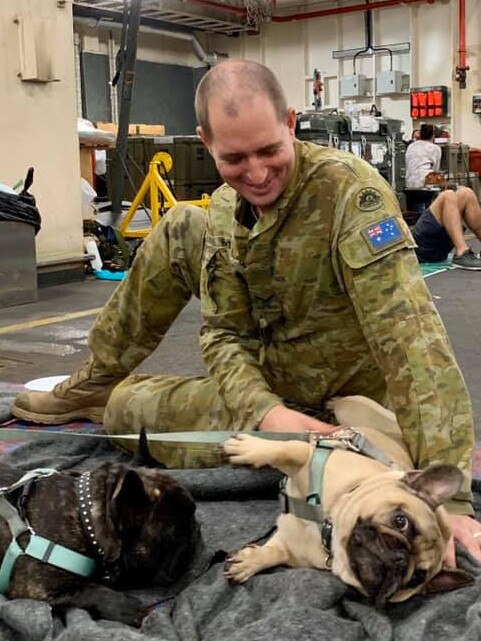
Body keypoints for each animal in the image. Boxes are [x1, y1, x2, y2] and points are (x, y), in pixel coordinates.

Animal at [0, 430, 199, 624]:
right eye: (177, 532)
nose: (196, 529)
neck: (86, 518)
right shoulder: (38, 588)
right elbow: (90, 590)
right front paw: (127, 608)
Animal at [224, 396, 472, 604]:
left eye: (416, 579)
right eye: (401, 521)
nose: (399, 559)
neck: (327, 524)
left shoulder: (292, 547)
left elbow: (275, 553)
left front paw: (248, 562)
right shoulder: (309, 457)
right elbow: (284, 450)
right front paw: (250, 448)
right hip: (354, 409)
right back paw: (331, 402)